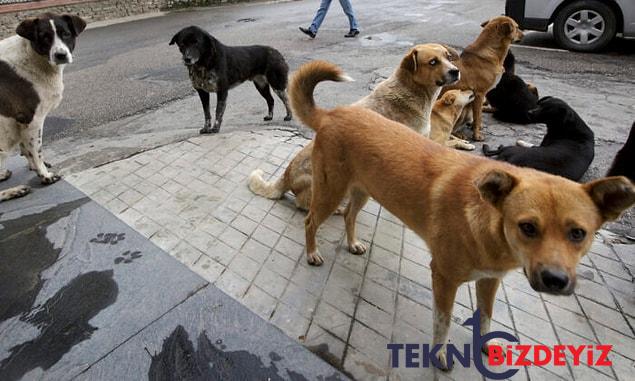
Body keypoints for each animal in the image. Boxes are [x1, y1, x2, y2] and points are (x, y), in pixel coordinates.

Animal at [0, 12, 86, 202]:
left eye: (66, 34)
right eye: (45, 38)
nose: (61, 55)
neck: (33, 57)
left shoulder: (21, 122)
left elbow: (27, 148)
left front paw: (34, 167)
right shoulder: (33, 119)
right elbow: (35, 149)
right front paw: (45, 175)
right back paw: (15, 191)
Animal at [246, 45, 460, 211]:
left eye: (448, 57)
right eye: (432, 62)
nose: (456, 71)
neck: (411, 91)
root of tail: (287, 175)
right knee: (304, 203)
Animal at [290, 60, 635, 370]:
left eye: (578, 234)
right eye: (527, 227)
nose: (555, 281)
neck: (486, 224)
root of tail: (333, 113)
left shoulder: (490, 281)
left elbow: (485, 317)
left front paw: (485, 346)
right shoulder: (443, 277)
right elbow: (442, 323)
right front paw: (440, 356)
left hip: (363, 190)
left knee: (349, 216)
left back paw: (352, 244)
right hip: (331, 190)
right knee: (310, 221)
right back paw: (312, 253)